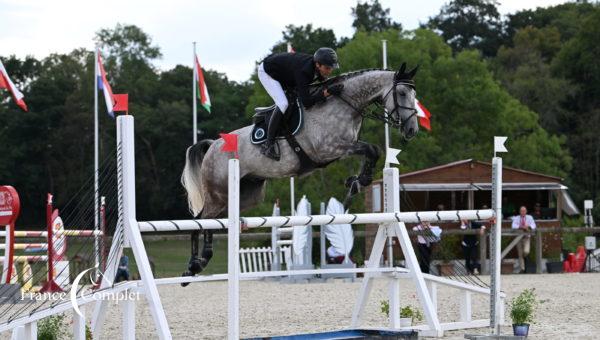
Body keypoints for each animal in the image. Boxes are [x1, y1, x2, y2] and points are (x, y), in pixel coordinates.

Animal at [180, 63, 420, 282]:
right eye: (401, 93)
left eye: (414, 95)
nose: (412, 130)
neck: (343, 105)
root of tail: (213, 145)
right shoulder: (330, 148)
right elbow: (371, 149)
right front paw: (358, 182)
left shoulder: (343, 147)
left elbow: (374, 150)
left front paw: (357, 182)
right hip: (218, 193)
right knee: (200, 221)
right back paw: (195, 265)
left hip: (245, 195)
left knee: (212, 221)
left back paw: (198, 263)